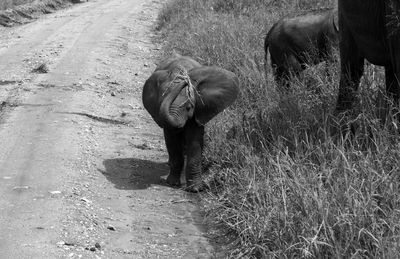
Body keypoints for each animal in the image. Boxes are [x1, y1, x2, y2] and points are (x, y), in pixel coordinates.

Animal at [142, 53, 239, 192]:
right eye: (160, 103)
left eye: (189, 107)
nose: (184, 78)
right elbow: (171, 140)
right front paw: (172, 183)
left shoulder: (198, 109)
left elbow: (194, 140)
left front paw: (195, 189)